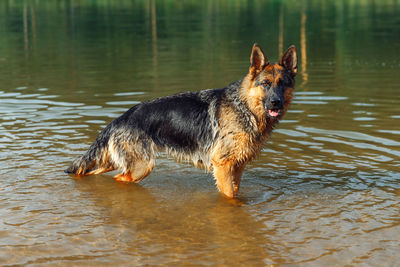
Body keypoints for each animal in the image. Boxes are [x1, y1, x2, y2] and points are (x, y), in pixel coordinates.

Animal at [66, 44, 296, 199]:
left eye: (283, 84)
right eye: (265, 84)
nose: (276, 103)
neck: (246, 106)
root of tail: (120, 118)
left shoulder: (237, 167)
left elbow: (235, 192)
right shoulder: (222, 165)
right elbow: (230, 196)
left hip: (114, 162)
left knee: (91, 172)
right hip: (141, 167)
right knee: (118, 179)